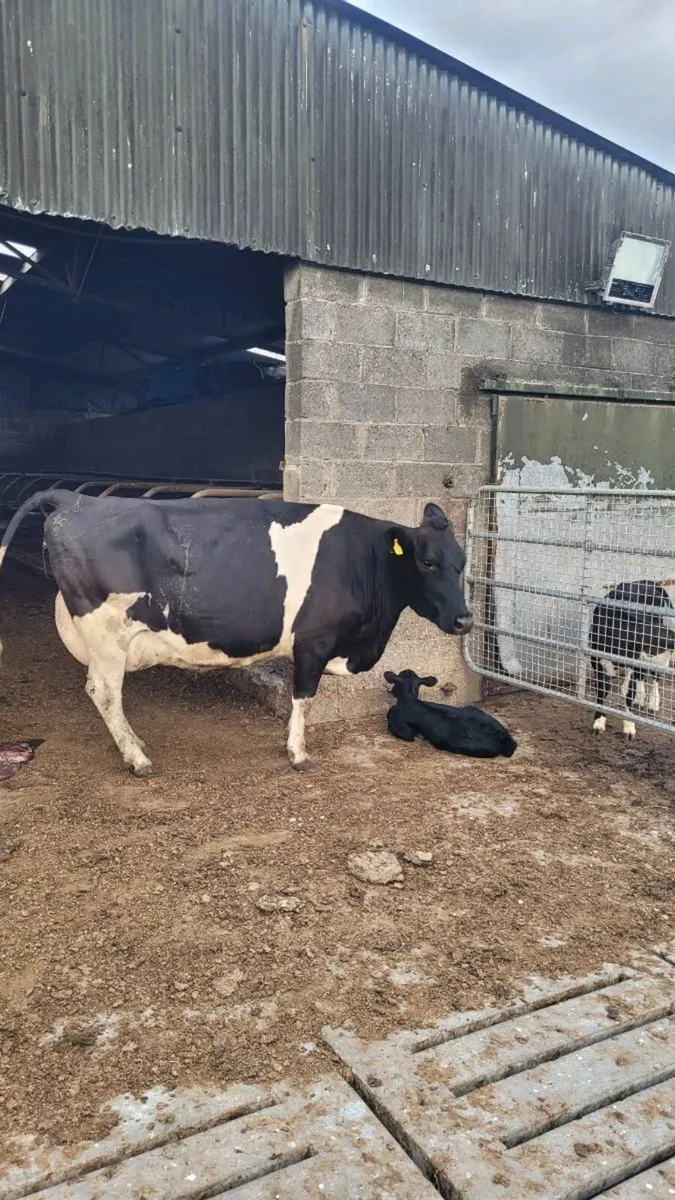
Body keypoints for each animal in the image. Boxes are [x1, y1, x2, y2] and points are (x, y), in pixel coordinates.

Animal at [0, 491, 473, 776]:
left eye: (462, 562)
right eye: (426, 562)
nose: (466, 621)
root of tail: (75, 499)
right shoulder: (313, 642)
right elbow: (304, 698)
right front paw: (298, 754)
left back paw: (136, 743)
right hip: (108, 635)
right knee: (105, 693)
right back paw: (138, 758)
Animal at [589, 579, 675, 740]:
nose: (664, 666)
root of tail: (645, 582)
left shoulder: (634, 661)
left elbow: (629, 691)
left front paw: (629, 725)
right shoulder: (596, 660)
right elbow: (603, 689)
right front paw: (599, 721)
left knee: (652, 679)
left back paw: (653, 702)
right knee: (642, 676)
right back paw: (640, 698)